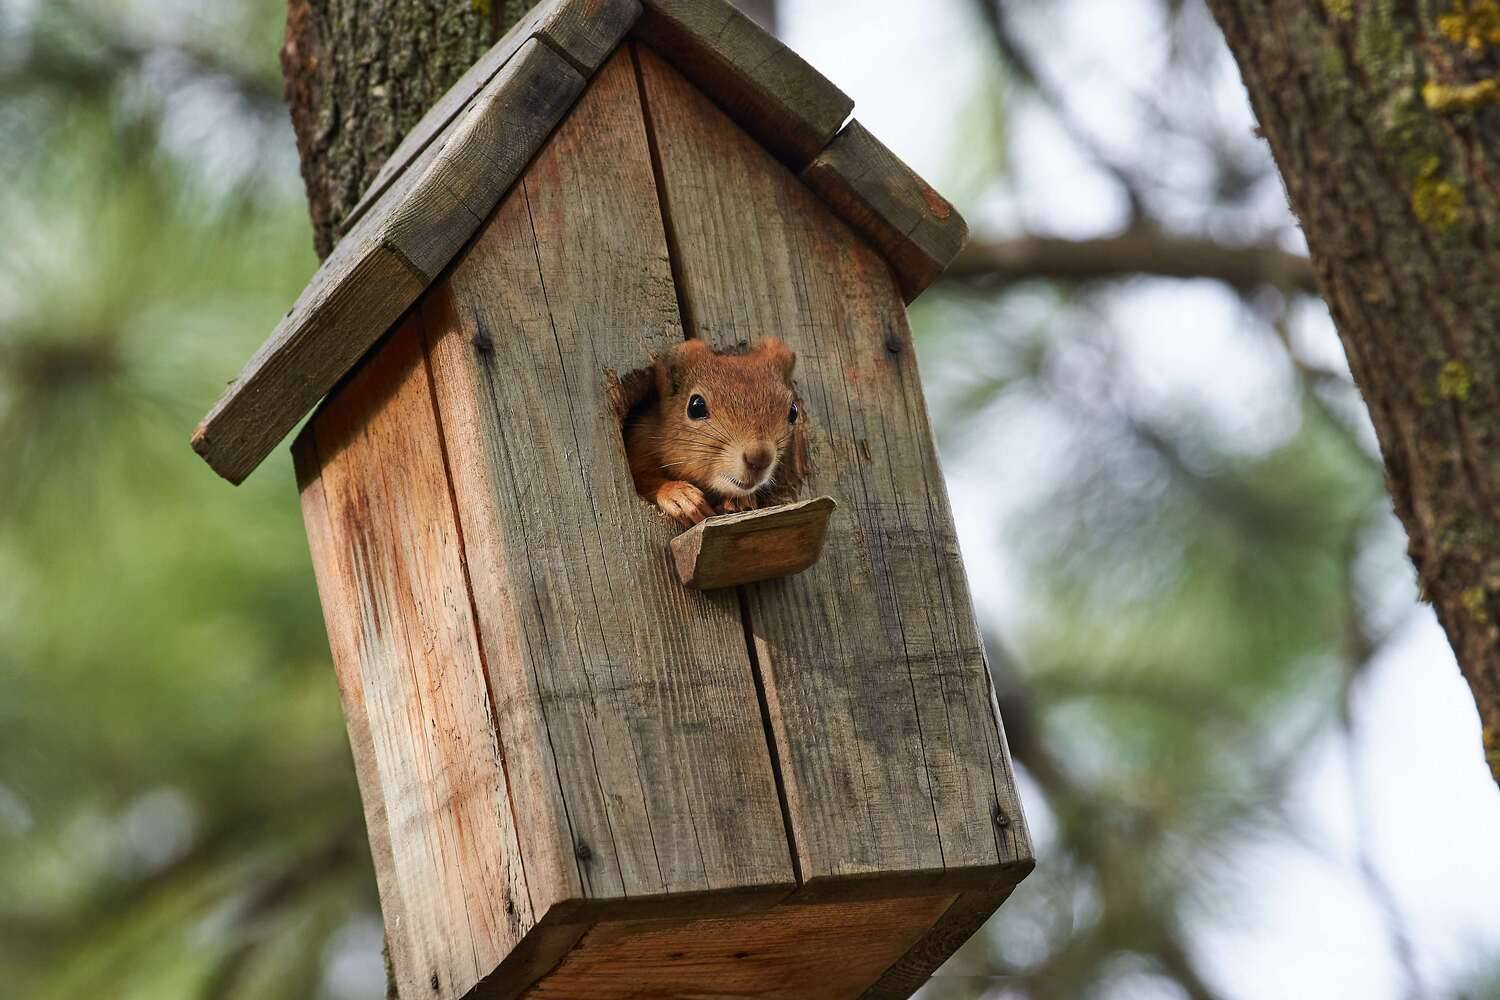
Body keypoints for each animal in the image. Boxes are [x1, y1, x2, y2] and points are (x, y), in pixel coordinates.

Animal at [625, 338, 805, 527]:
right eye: (696, 407)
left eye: (793, 412)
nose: (760, 459)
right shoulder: (640, 440)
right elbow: (643, 480)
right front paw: (679, 495)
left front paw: (741, 500)